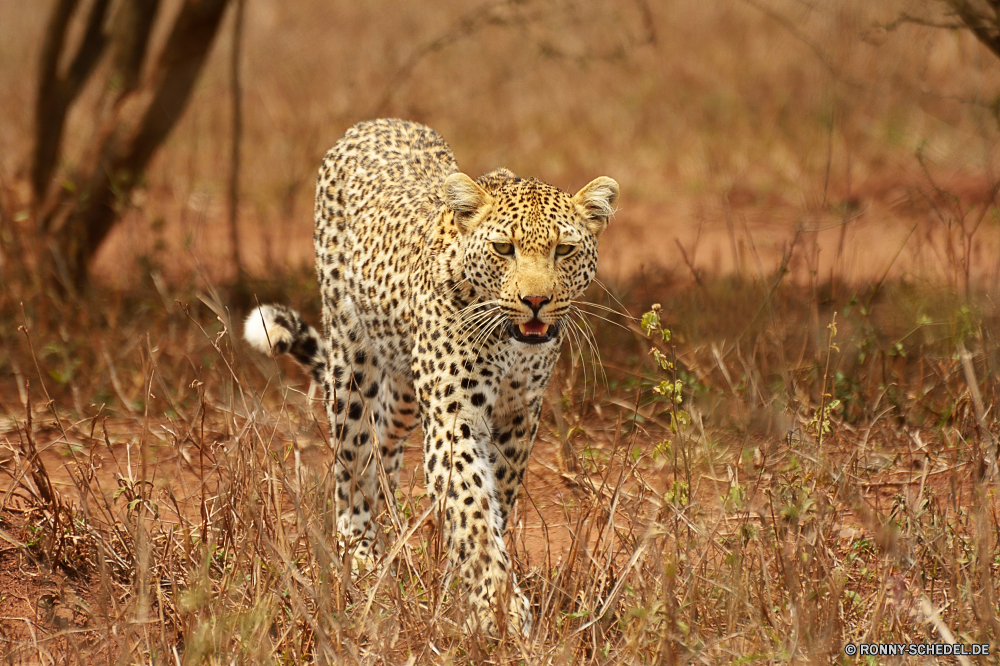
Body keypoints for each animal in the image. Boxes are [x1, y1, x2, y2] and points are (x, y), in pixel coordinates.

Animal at [244, 118, 616, 632]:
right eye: (504, 249)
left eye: (564, 250)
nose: (536, 301)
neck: (510, 345)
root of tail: (376, 122)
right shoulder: (453, 416)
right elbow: (473, 510)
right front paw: (498, 608)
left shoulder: (519, 415)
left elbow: (494, 501)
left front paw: (466, 586)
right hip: (350, 361)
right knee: (351, 461)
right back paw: (361, 552)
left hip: (402, 392)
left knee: (383, 444)